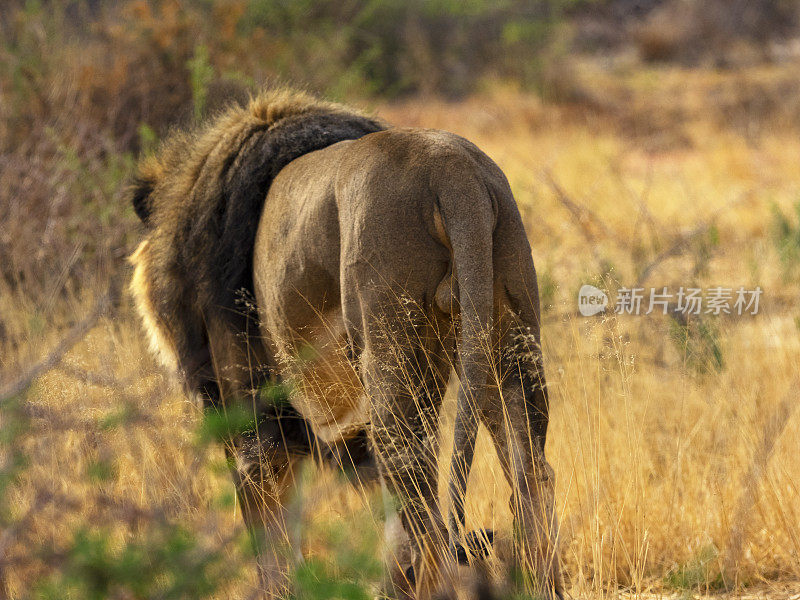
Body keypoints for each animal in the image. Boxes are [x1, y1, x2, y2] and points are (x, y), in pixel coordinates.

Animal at [126, 89, 564, 600]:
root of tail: (454, 172)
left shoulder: (248, 416)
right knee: (529, 477)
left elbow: (272, 540)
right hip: (507, 334)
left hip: (388, 351)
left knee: (427, 511)